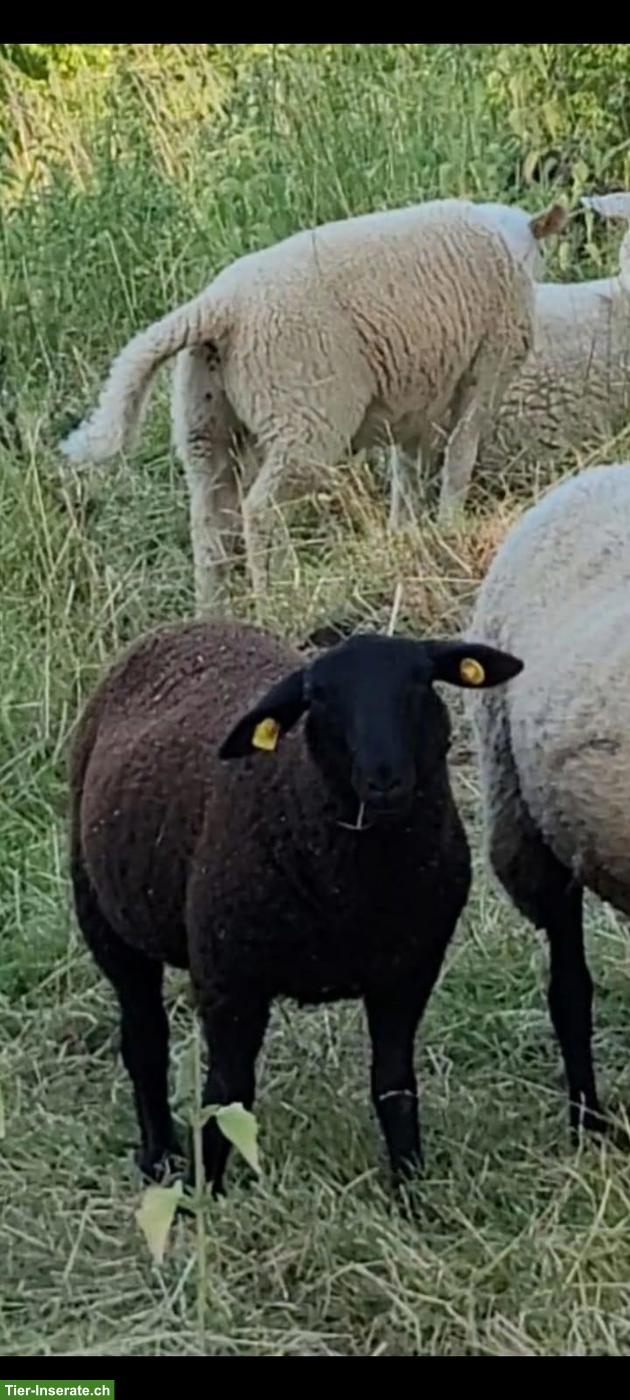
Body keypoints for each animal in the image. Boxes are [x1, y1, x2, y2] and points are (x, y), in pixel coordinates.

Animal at [60, 197, 567, 610]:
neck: (509, 241)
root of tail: (220, 305)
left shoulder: (414, 401)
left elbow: (406, 473)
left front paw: (405, 536)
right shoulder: (488, 364)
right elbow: (461, 452)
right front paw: (449, 526)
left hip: (204, 424)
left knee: (209, 527)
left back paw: (215, 612)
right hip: (303, 415)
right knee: (260, 510)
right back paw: (278, 594)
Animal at [69, 618, 523, 1193]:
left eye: (421, 682)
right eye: (318, 699)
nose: (384, 779)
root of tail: (186, 625)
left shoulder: (409, 972)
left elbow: (394, 1085)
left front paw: (410, 1187)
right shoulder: (228, 978)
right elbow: (227, 1093)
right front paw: (206, 1197)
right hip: (103, 918)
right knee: (145, 1038)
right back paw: (160, 1156)